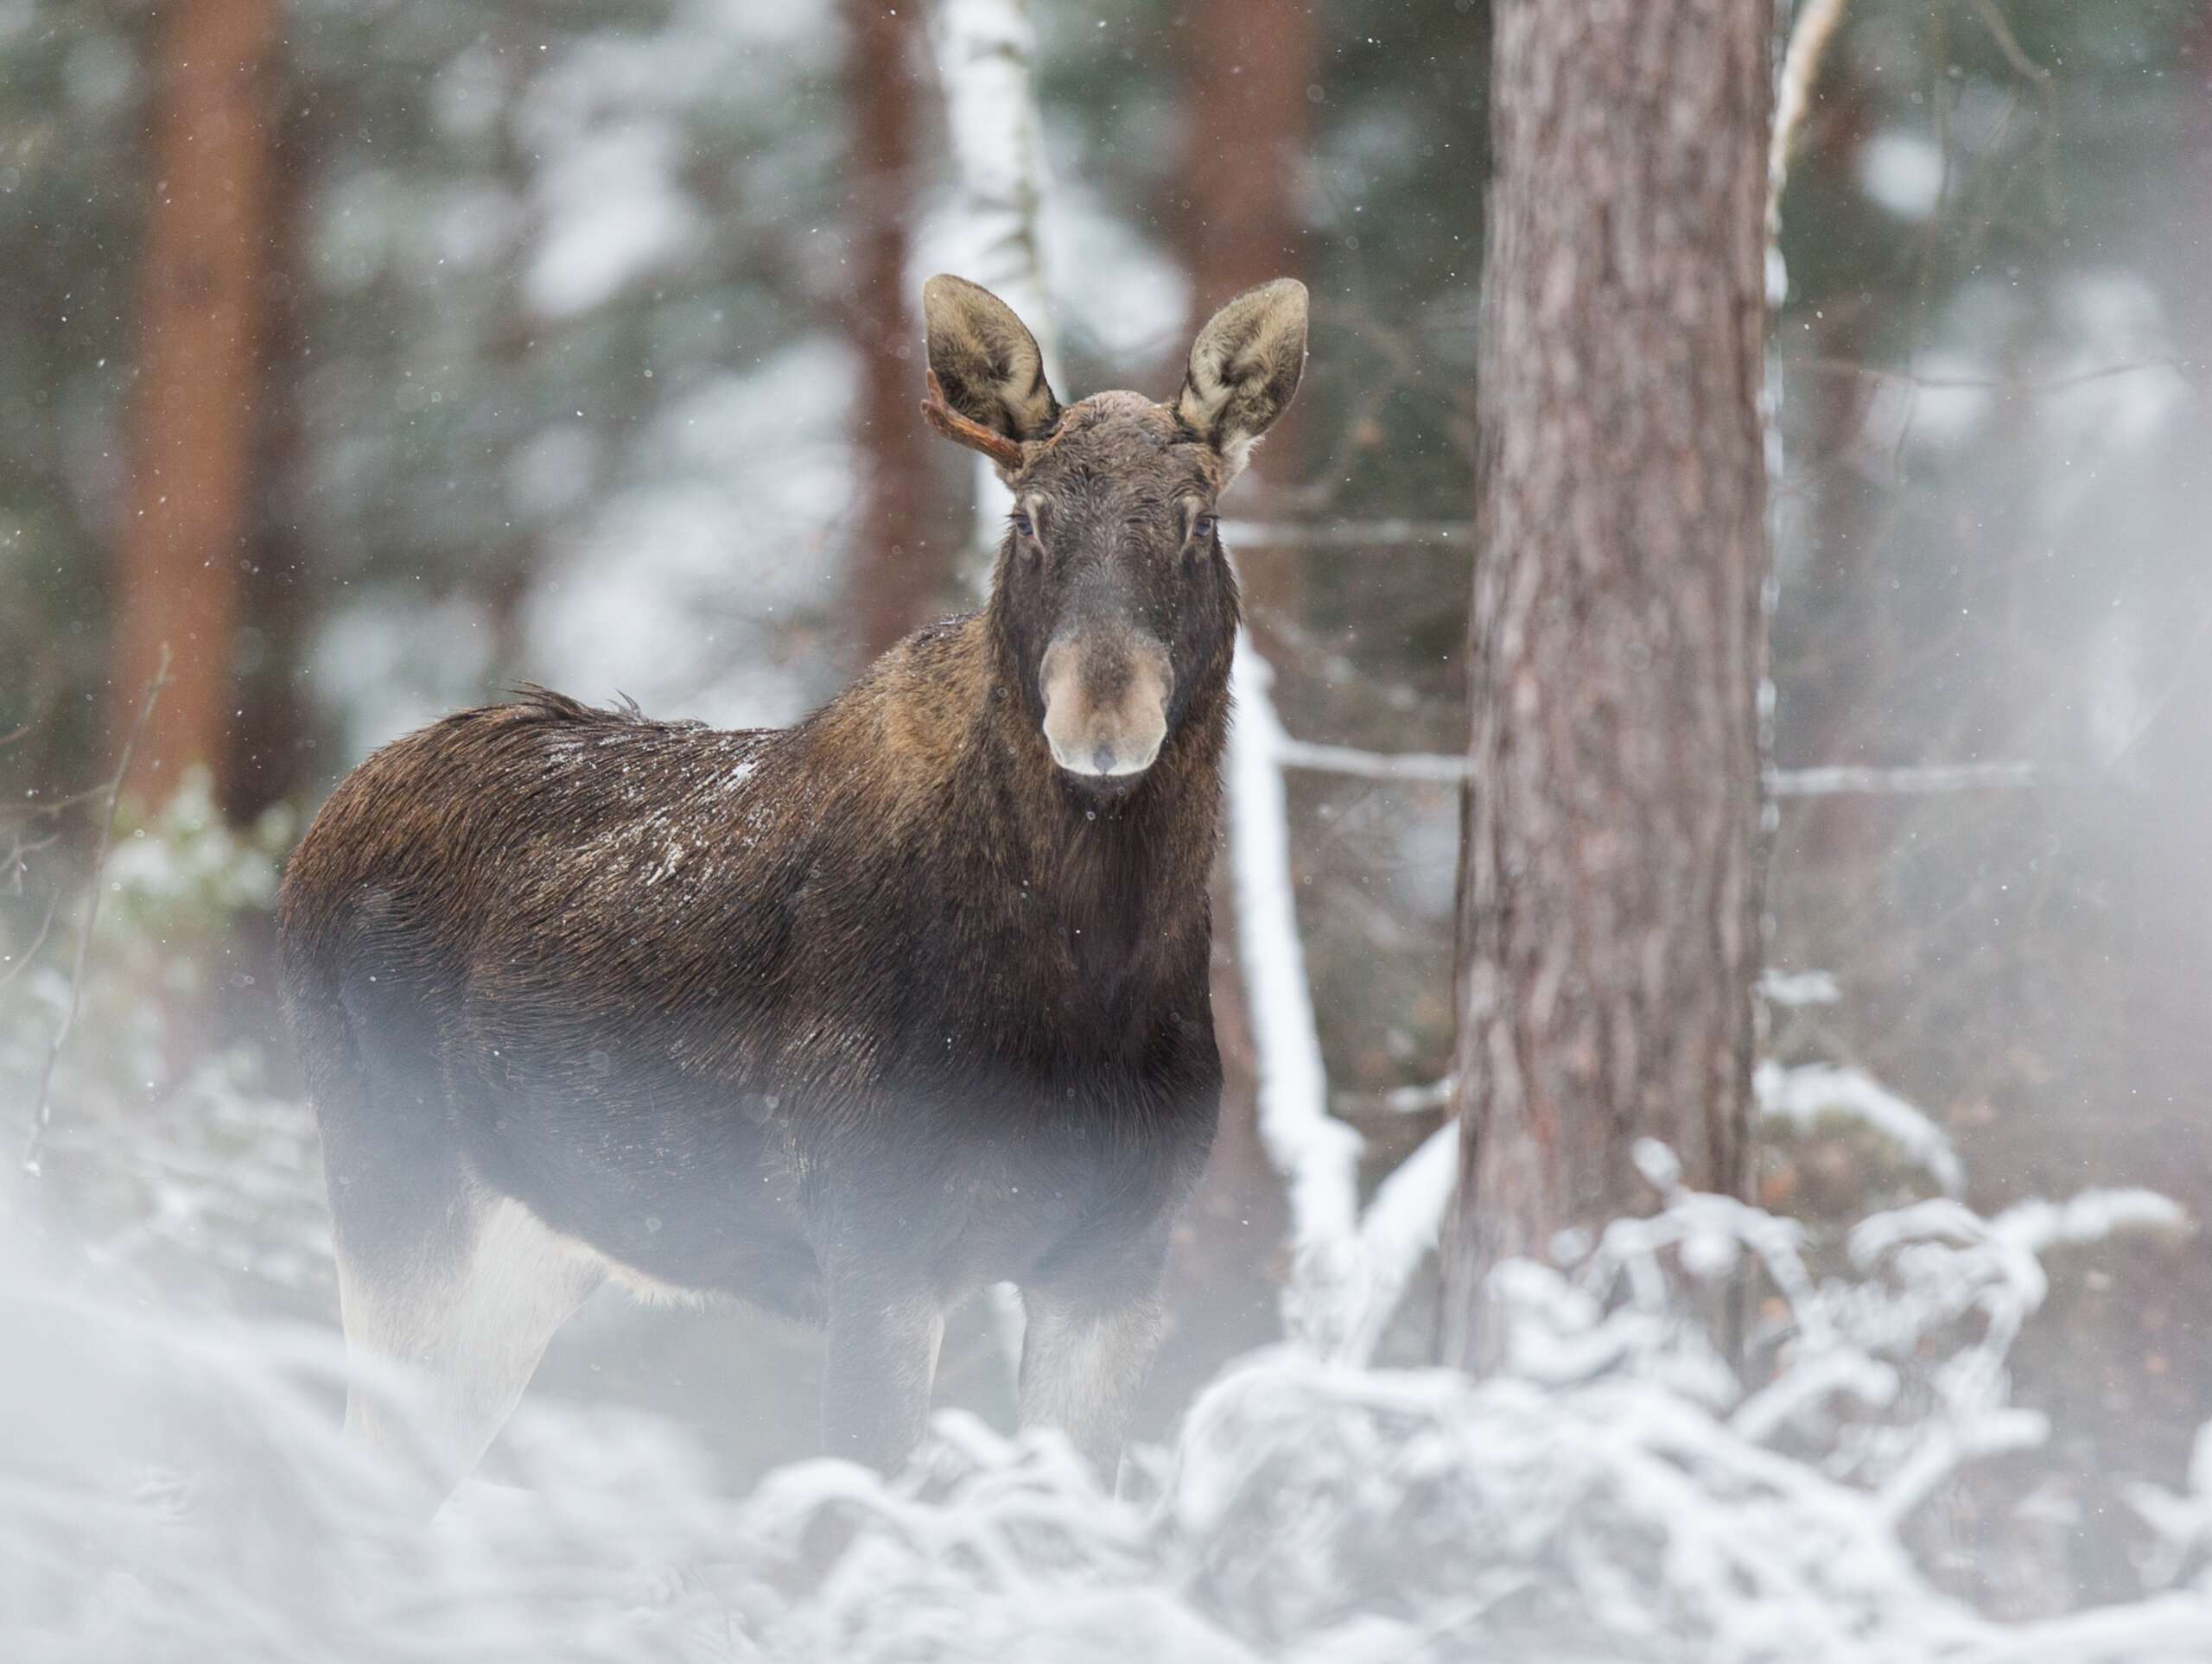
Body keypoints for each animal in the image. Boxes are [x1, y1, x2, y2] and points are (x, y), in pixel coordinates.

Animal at [278, 276, 1309, 1504]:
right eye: (1029, 522)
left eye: (1198, 524)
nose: (1102, 722)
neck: (1089, 989)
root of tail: (312, 836)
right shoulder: (878, 1240)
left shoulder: (1115, 1261)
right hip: (397, 1193)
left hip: (531, 1254)